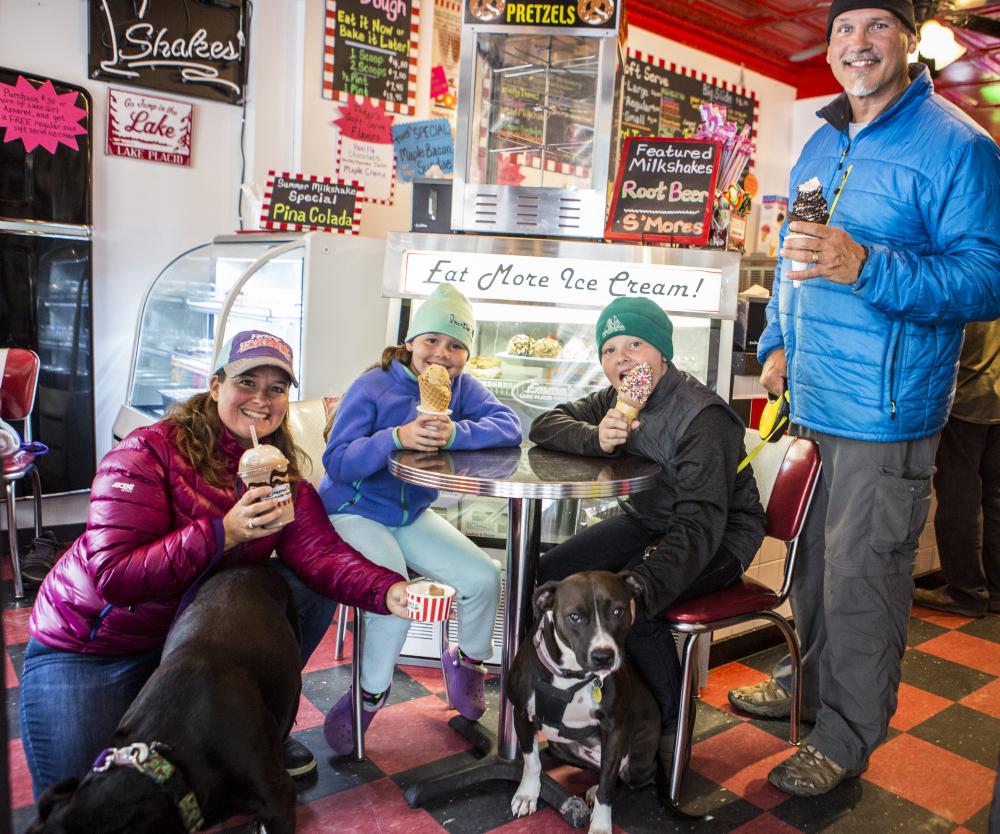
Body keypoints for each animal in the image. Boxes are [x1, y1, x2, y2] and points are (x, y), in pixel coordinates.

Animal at [504, 568, 660, 832]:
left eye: (618, 611)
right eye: (574, 616)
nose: (603, 656)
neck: (571, 675)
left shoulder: (614, 730)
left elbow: (607, 786)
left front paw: (600, 825)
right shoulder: (522, 714)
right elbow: (532, 761)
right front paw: (528, 794)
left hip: (638, 762)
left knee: (620, 776)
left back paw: (597, 789)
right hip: (560, 747)